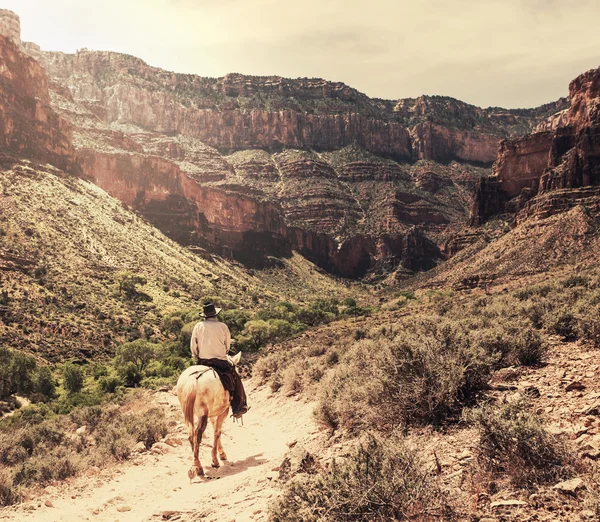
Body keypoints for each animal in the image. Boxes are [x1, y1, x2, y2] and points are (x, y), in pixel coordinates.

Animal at [176, 350, 241, 480]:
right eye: (236, 371)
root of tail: (193, 379)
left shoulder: (211, 414)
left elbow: (215, 429)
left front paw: (220, 454)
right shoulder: (223, 411)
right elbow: (217, 432)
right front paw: (216, 460)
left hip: (188, 414)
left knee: (191, 435)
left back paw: (197, 464)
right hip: (202, 414)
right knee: (198, 434)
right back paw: (199, 468)